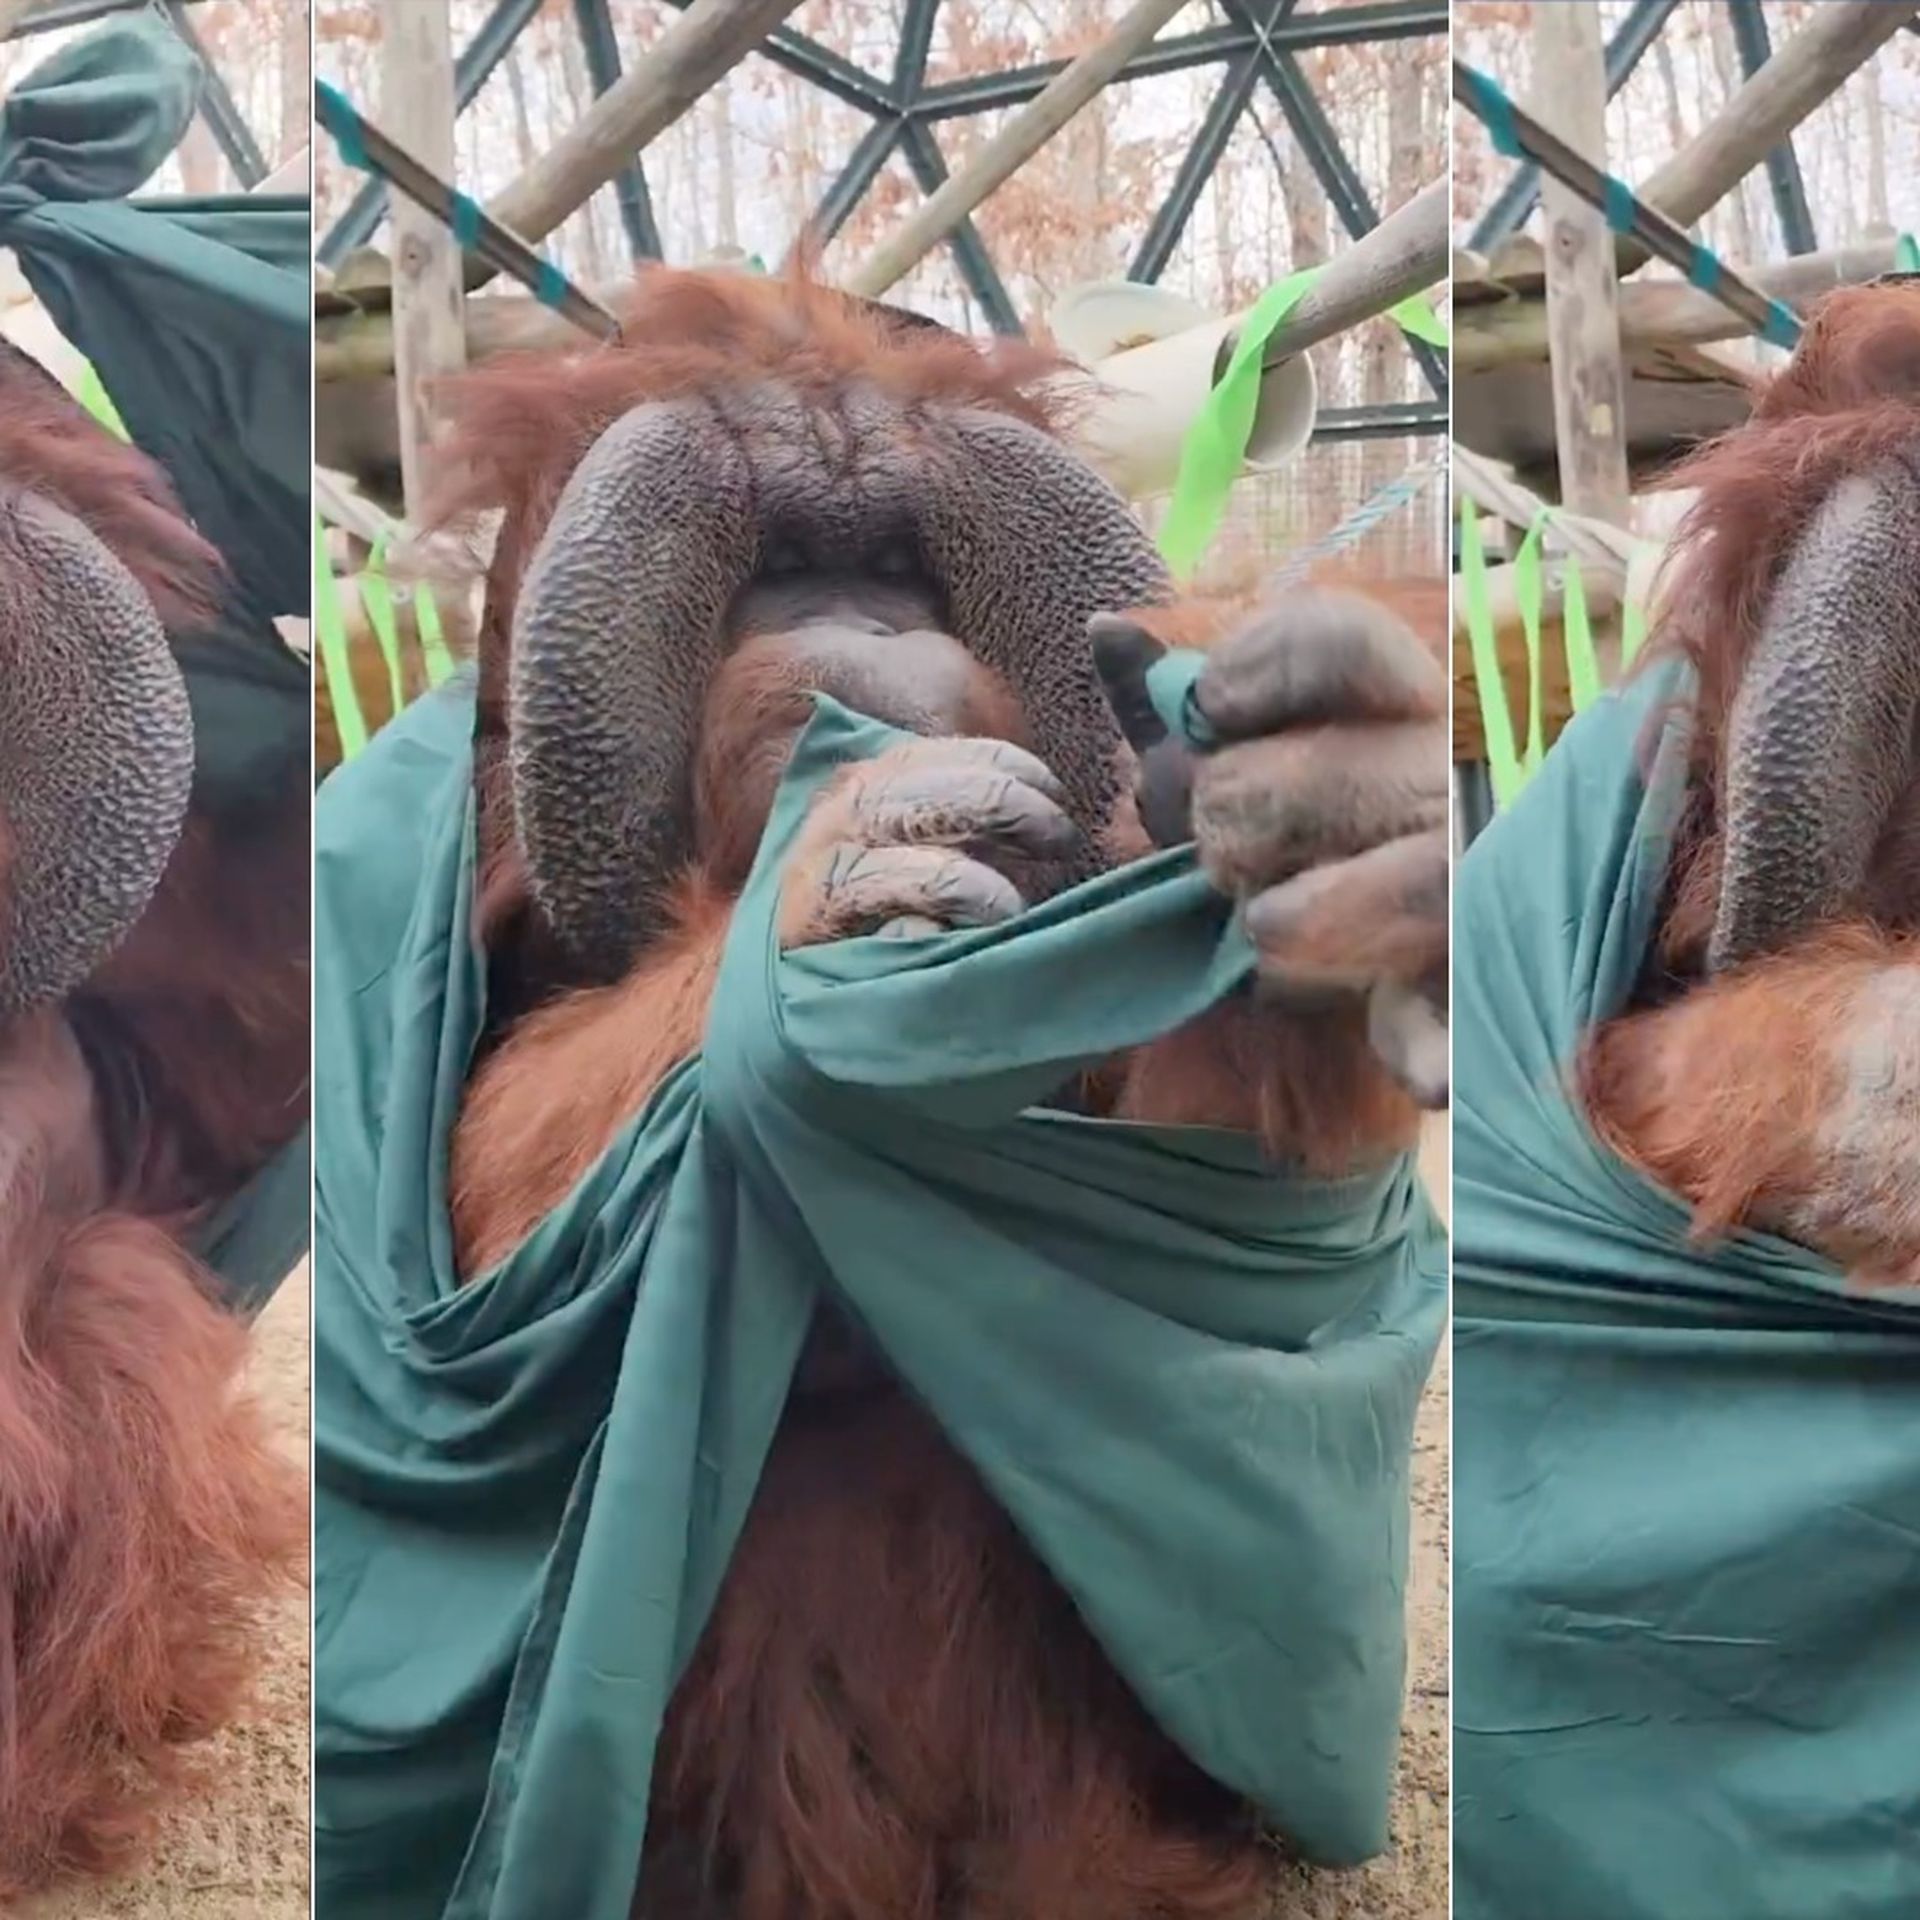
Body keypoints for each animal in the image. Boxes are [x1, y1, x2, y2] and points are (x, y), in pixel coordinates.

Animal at [418, 266, 1448, 1920]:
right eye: (780, 573)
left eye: (901, 570)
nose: (861, 626)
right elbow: (490, 1242)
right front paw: (847, 876)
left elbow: (1205, 1203)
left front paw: (1338, 802)